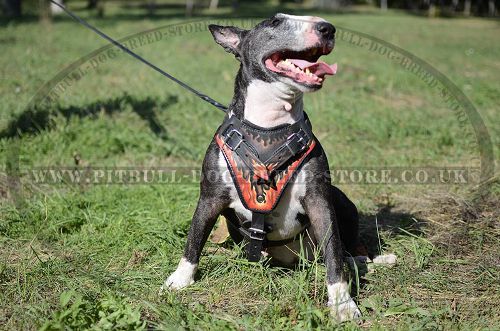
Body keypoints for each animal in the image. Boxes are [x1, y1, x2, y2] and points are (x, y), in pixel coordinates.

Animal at [164, 14, 364, 322]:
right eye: (274, 22)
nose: (327, 28)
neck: (269, 127)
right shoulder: (210, 197)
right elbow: (194, 237)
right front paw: (180, 279)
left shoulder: (320, 200)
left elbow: (333, 252)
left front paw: (343, 304)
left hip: (341, 200)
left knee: (346, 250)